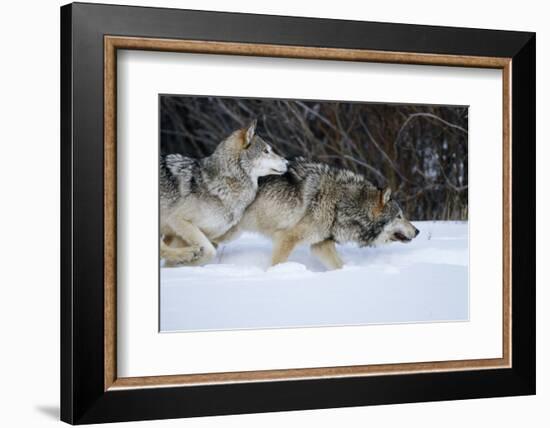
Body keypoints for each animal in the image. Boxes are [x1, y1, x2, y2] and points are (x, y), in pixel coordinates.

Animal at [160, 120, 288, 266]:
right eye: (266, 151)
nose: (287, 162)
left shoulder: (181, 234)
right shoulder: (178, 220)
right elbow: (210, 252)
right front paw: (188, 264)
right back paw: (188, 253)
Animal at [220, 159, 422, 270]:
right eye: (399, 216)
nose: (418, 231)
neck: (341, 203)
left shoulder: (320, 244)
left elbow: (339, 266)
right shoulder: (287, 238)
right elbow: (276, 263)